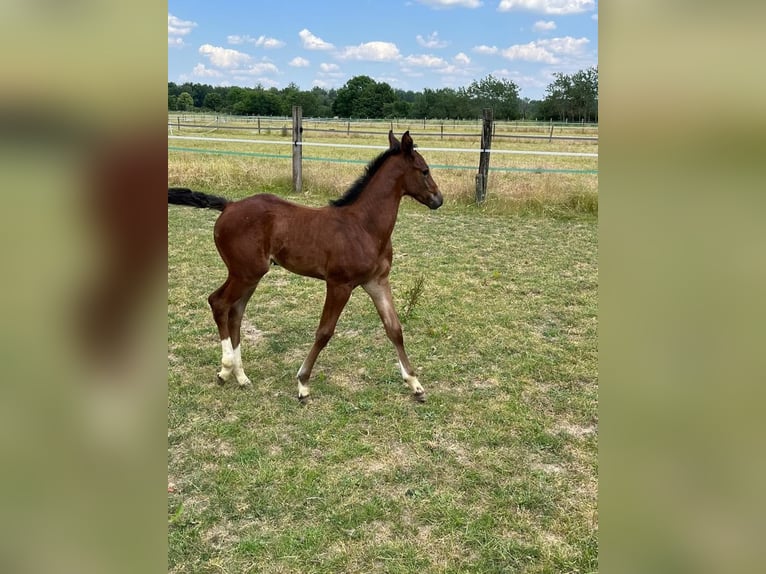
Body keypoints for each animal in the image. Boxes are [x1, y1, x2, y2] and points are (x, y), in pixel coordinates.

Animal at [168, 131, 444, 402]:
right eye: (424, 170)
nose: (438, 199)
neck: (364, 226)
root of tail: (229, 205)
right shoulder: (339, 284)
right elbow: (324, 332)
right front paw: (303, 383)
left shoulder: (377, 281)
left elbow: (394, 329)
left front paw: (415, 384)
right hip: (244, 272)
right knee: (219, 303)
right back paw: (225, 370)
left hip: (250, 275)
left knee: (235, 312)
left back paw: (241, 376)